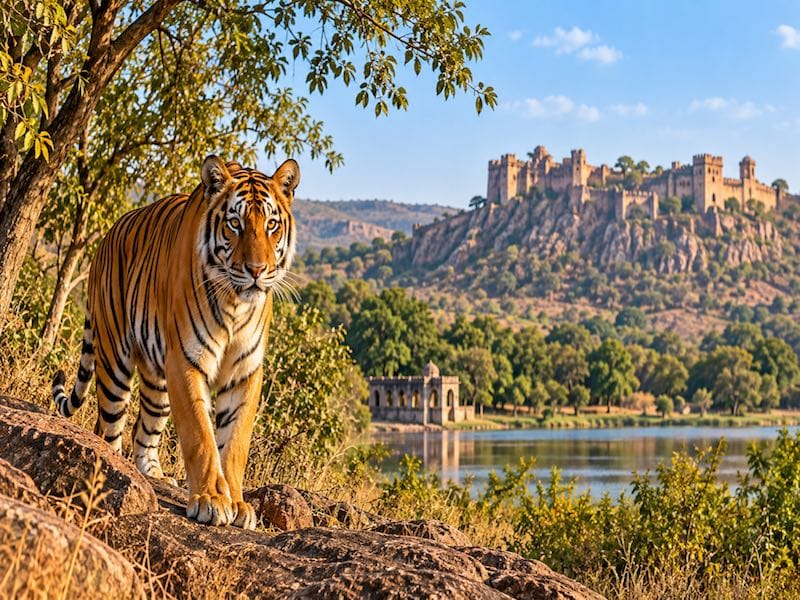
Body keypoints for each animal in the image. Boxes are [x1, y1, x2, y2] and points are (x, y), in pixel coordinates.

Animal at [52, 156, 299, 529]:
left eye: (271, 225)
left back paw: (152, 474)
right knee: (107, 427)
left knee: (144, 429)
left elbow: (235, 443)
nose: (257, 270)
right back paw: (113, 468)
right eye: (235, 223)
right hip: (114, 362)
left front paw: (238, 504)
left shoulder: (245, 371)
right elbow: (201, 436)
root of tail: (106, 237)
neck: (236, 303)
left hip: (158, 382)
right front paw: (212, 500)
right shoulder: (186, 360)